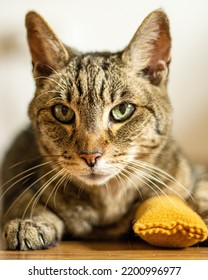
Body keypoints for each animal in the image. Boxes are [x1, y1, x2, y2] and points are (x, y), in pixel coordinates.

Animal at [0, 9, 207, 249]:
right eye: (63, 112)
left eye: (122, 110)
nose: (90, 156)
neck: (107, 201)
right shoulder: (19, 181)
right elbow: (24, 200)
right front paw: (28, 222)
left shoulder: (189, 171)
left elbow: (202, 189)